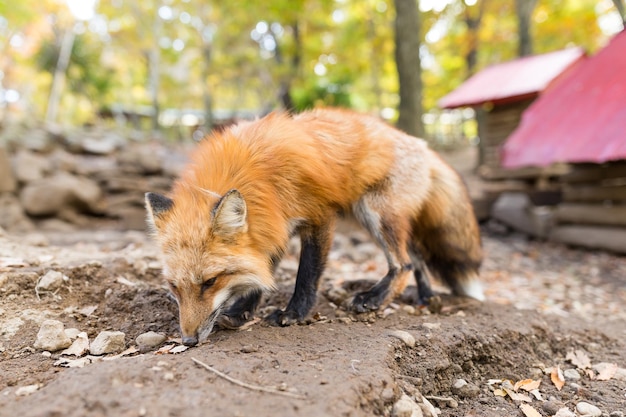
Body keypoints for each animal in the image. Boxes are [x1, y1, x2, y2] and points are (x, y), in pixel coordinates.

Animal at [145, 107, 482, 344]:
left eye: (210, 282)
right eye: (173, 286)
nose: (188, 340)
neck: (258, 175)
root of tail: (421, 144)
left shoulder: (319, 215)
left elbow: (306, 274)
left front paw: (294, 313)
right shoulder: (273, 226)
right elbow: (262, 270)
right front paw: (242, 311)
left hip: (375, 213)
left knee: (403, 264)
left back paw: (374, 298)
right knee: (417, 258)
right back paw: (425, 296)